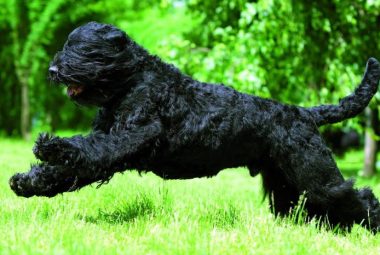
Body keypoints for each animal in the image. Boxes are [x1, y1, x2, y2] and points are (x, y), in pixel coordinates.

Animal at [8, 21, 380, 232]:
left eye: (82, 49)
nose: (53, 71)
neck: (132, 81)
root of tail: (305, 113)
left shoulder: (126, 138)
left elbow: (84, 148)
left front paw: (50, 145)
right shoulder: (107, 145)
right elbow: (68, 169)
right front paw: (26, 182)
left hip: (314, 173)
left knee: (355, 196)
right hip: (287, 180)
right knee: (312, 207)